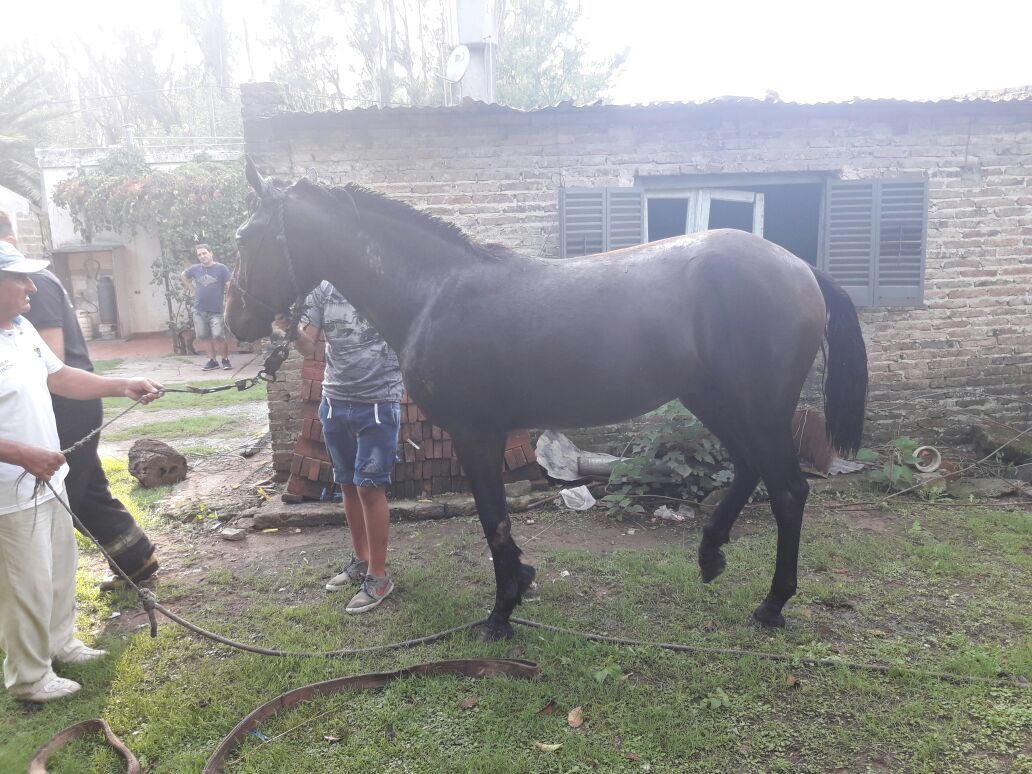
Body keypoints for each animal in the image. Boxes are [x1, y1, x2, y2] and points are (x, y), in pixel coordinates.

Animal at [227, 159, 868, 641]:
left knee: (788, 490)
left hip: (757, 408)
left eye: (244, 237)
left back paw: (772, 604)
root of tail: (800, 268)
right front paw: (522, 584)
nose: (237, 322)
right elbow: (498, 522)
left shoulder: (476, 433)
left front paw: (503, 610)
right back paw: (711, 556)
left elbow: (494, 521)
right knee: (750, 468)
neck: (433, 292)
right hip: (713, 400)